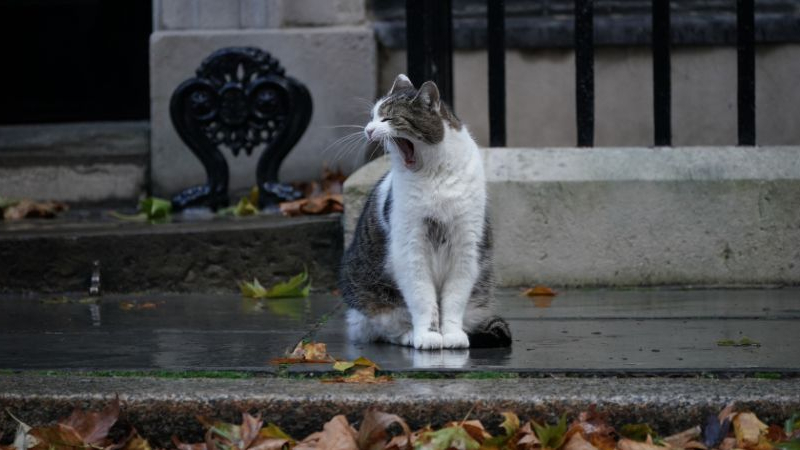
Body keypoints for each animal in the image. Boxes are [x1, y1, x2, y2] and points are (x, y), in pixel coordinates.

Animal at [338, 74, 512, 350]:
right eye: (372, 116)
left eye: (387, 118)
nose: (368, 130)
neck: (434, 174)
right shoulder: (411, 248)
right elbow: (422, 299)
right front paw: (428, 335)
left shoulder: (466, 247)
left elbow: (454, 300)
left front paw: (452, 334)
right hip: (371, 299)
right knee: (385, 328)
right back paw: (409, 335)